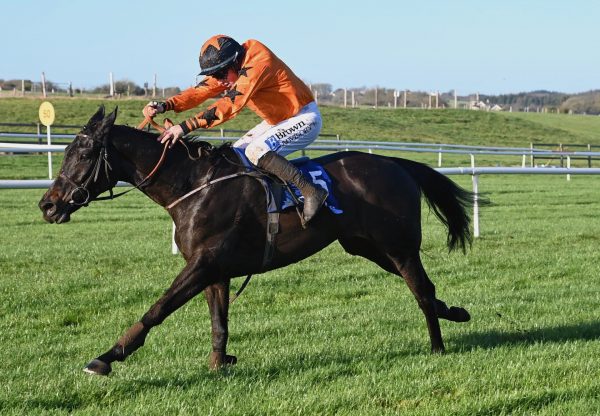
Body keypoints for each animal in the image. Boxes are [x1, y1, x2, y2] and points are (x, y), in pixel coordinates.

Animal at [37, 106, 478, 376]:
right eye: (66, 152)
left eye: (84, 154)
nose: (48, 204)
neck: (193, 185)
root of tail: (394, 163)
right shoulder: (214, 270)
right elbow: (219, 322)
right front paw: (219, 363)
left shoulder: (202, 264)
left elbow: (158, 308)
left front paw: (106, 357)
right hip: (367, 246)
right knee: (426, 289)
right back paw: (454, 313)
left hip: (399, 246)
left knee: (420, 290)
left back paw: (437, 347)